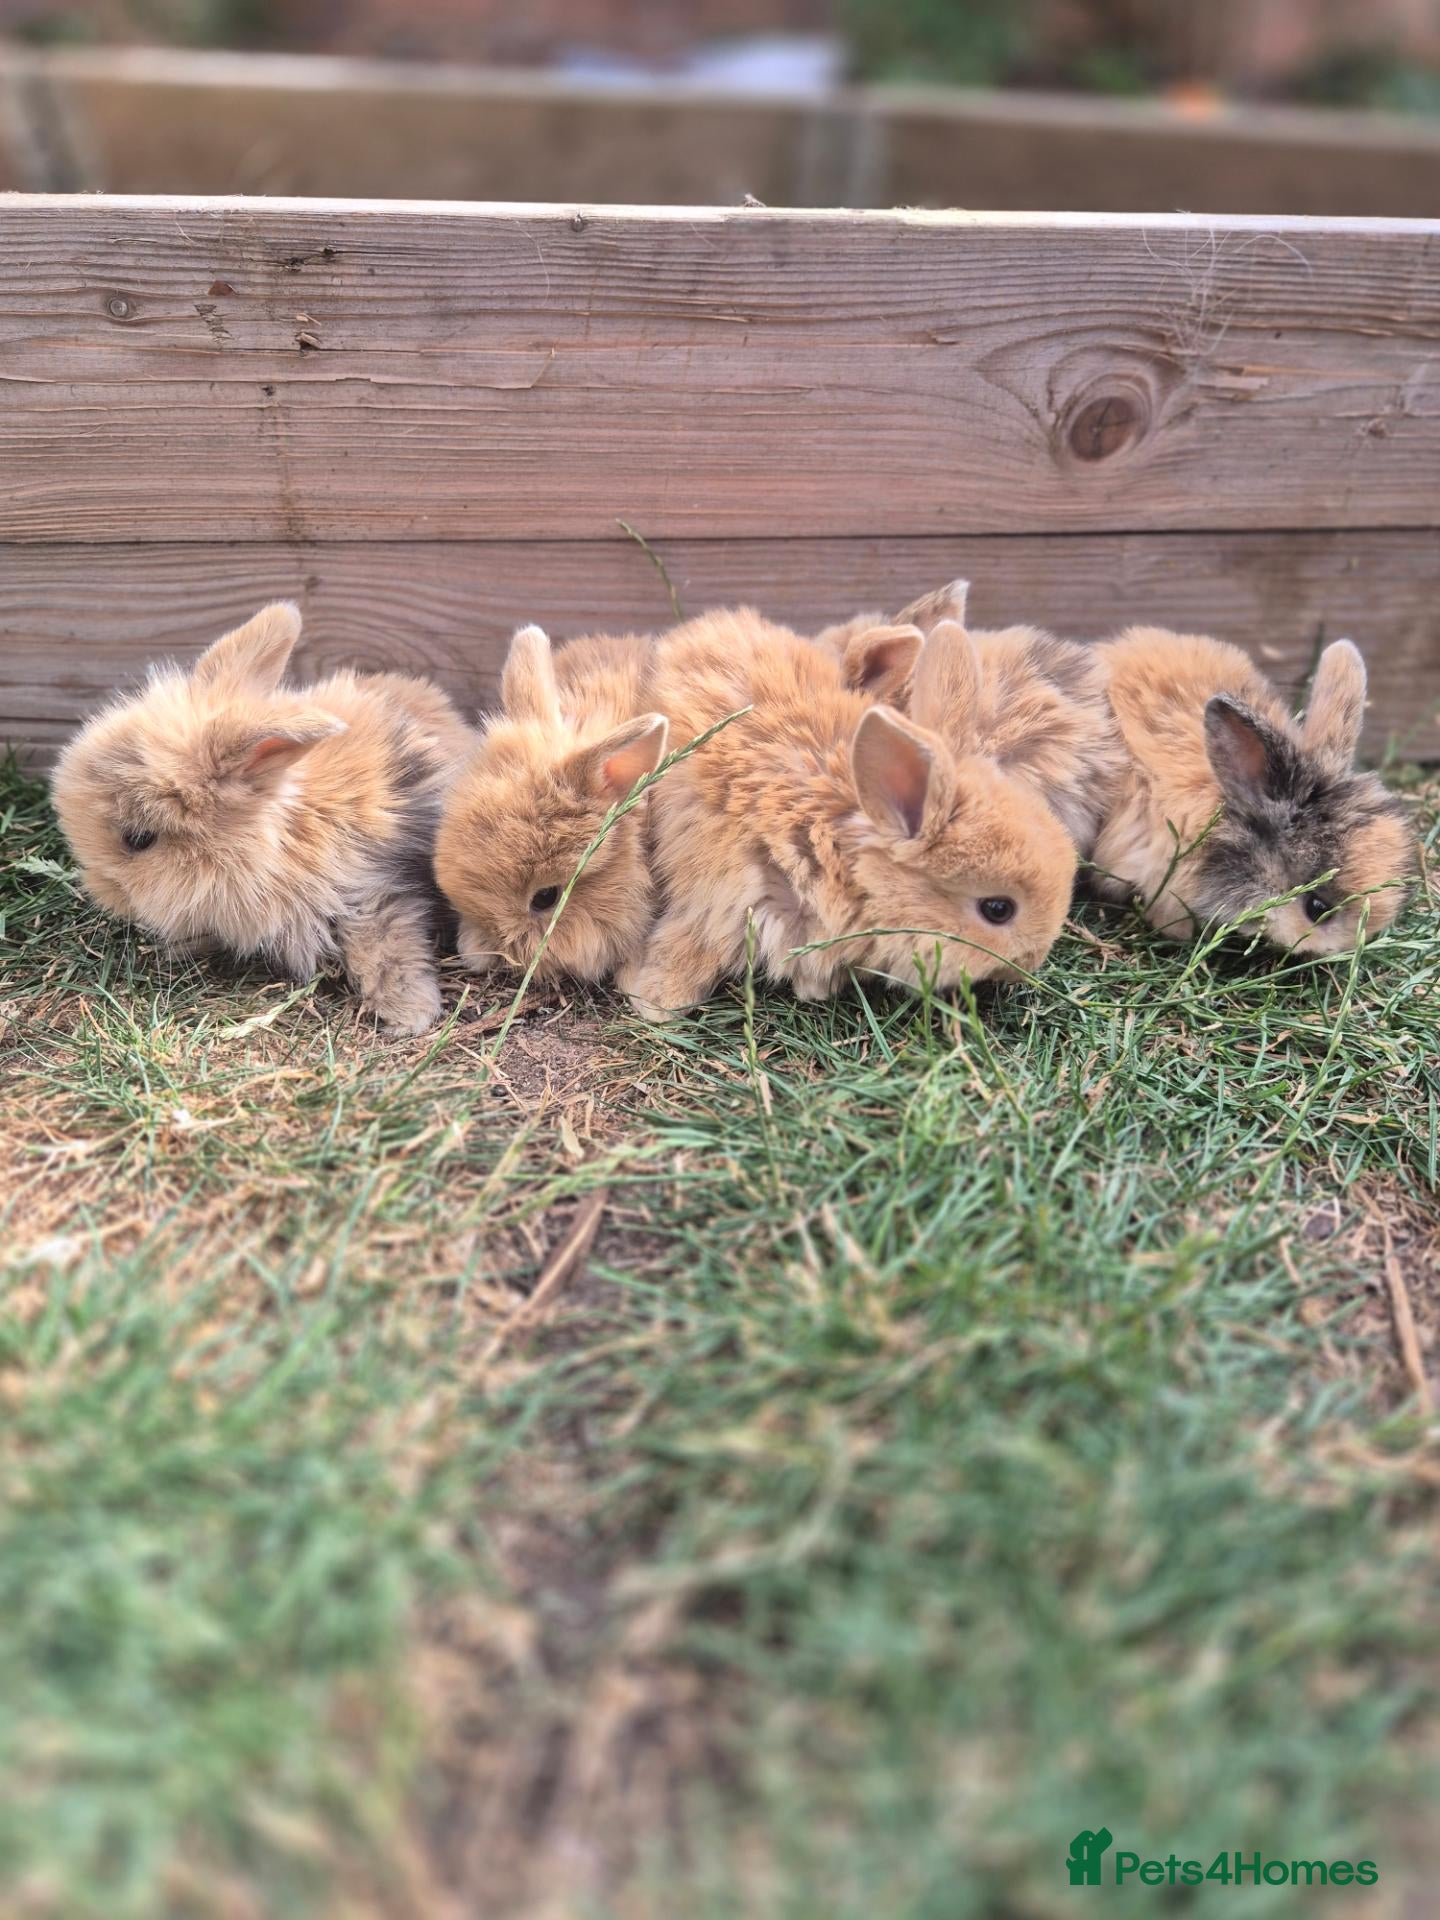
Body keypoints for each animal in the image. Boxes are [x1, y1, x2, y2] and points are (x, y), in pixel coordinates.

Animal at [51, 601, 474, 1034]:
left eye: (139, 840)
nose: (102, 893)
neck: (281, 841)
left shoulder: (371, 893)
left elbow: (386, 950)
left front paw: (410, 1014)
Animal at [614, 607, 1077, 1019]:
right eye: (998, 909)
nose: (1034, 961)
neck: (834, 841)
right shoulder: (719, 898)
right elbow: (689, 946)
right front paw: (654, 1000)